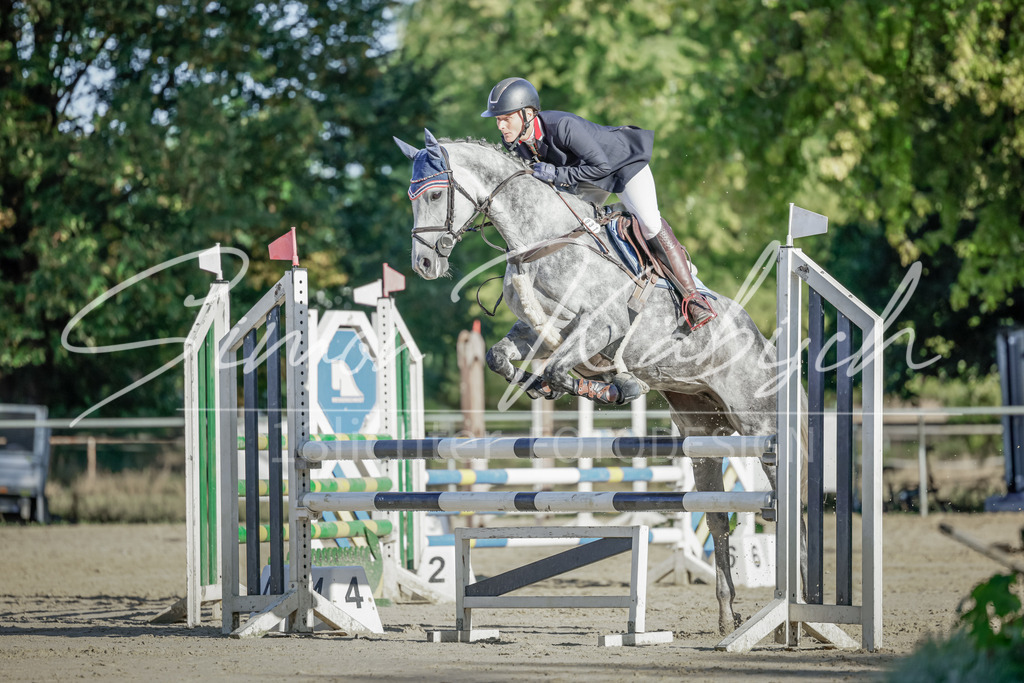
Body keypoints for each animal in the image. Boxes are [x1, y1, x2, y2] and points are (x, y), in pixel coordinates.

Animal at [394, 129, 785, 635]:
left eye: (435, 195)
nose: (423, 264)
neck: (539, 240)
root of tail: (760, 340)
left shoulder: (598, 326)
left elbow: (563, 368)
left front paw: (618, 386)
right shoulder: (536, 332)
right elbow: (503, 358)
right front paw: (542, 386)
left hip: (757, 425)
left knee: (780, 494)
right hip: (701, 431)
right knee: (718, 517)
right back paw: (728, 615)